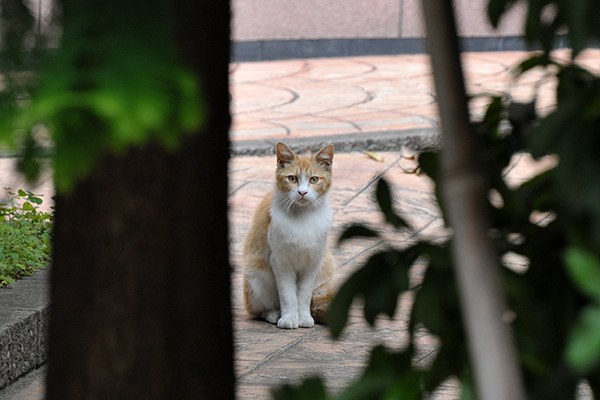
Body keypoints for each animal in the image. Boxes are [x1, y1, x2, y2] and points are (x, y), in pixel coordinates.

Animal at [244, 142, 338, 330]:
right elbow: (288, 294)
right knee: (258, 310)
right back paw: (274, 314)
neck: (302, 216)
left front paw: (304, 318)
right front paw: (289, 318)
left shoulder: (313, 262)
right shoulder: (280, 262)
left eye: (314, 179)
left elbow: (303, 295)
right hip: (257, 274)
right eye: (292, 178)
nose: (302, 192)